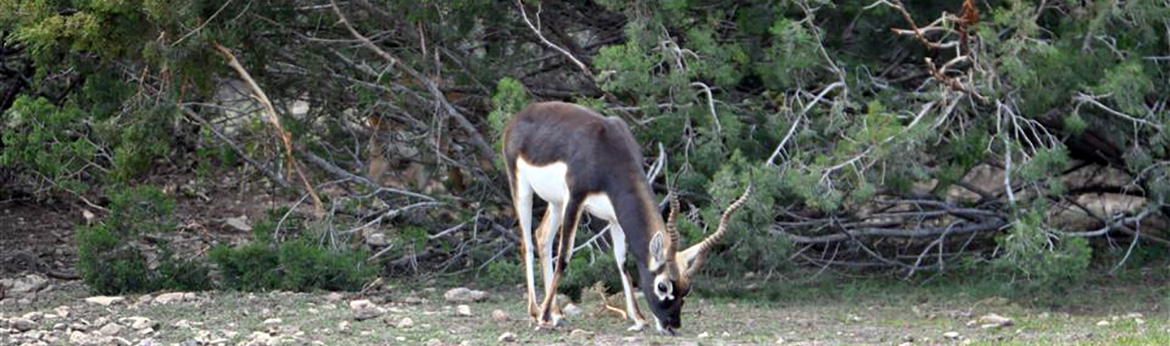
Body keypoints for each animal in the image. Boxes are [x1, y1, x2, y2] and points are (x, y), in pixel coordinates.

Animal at [503, 101, 748, 334]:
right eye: (662, 286)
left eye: (686, 289)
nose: (671, 325)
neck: (606, 150)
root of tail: (520, 116)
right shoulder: (575, 199)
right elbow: (564, 255)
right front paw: (543, 318)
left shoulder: (615, 216)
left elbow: (622, 260)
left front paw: (638, 319)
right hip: (523, 188)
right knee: (527, 243)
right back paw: (536, 312)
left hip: (555, 202)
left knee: (542, 236)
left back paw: (555, 313)